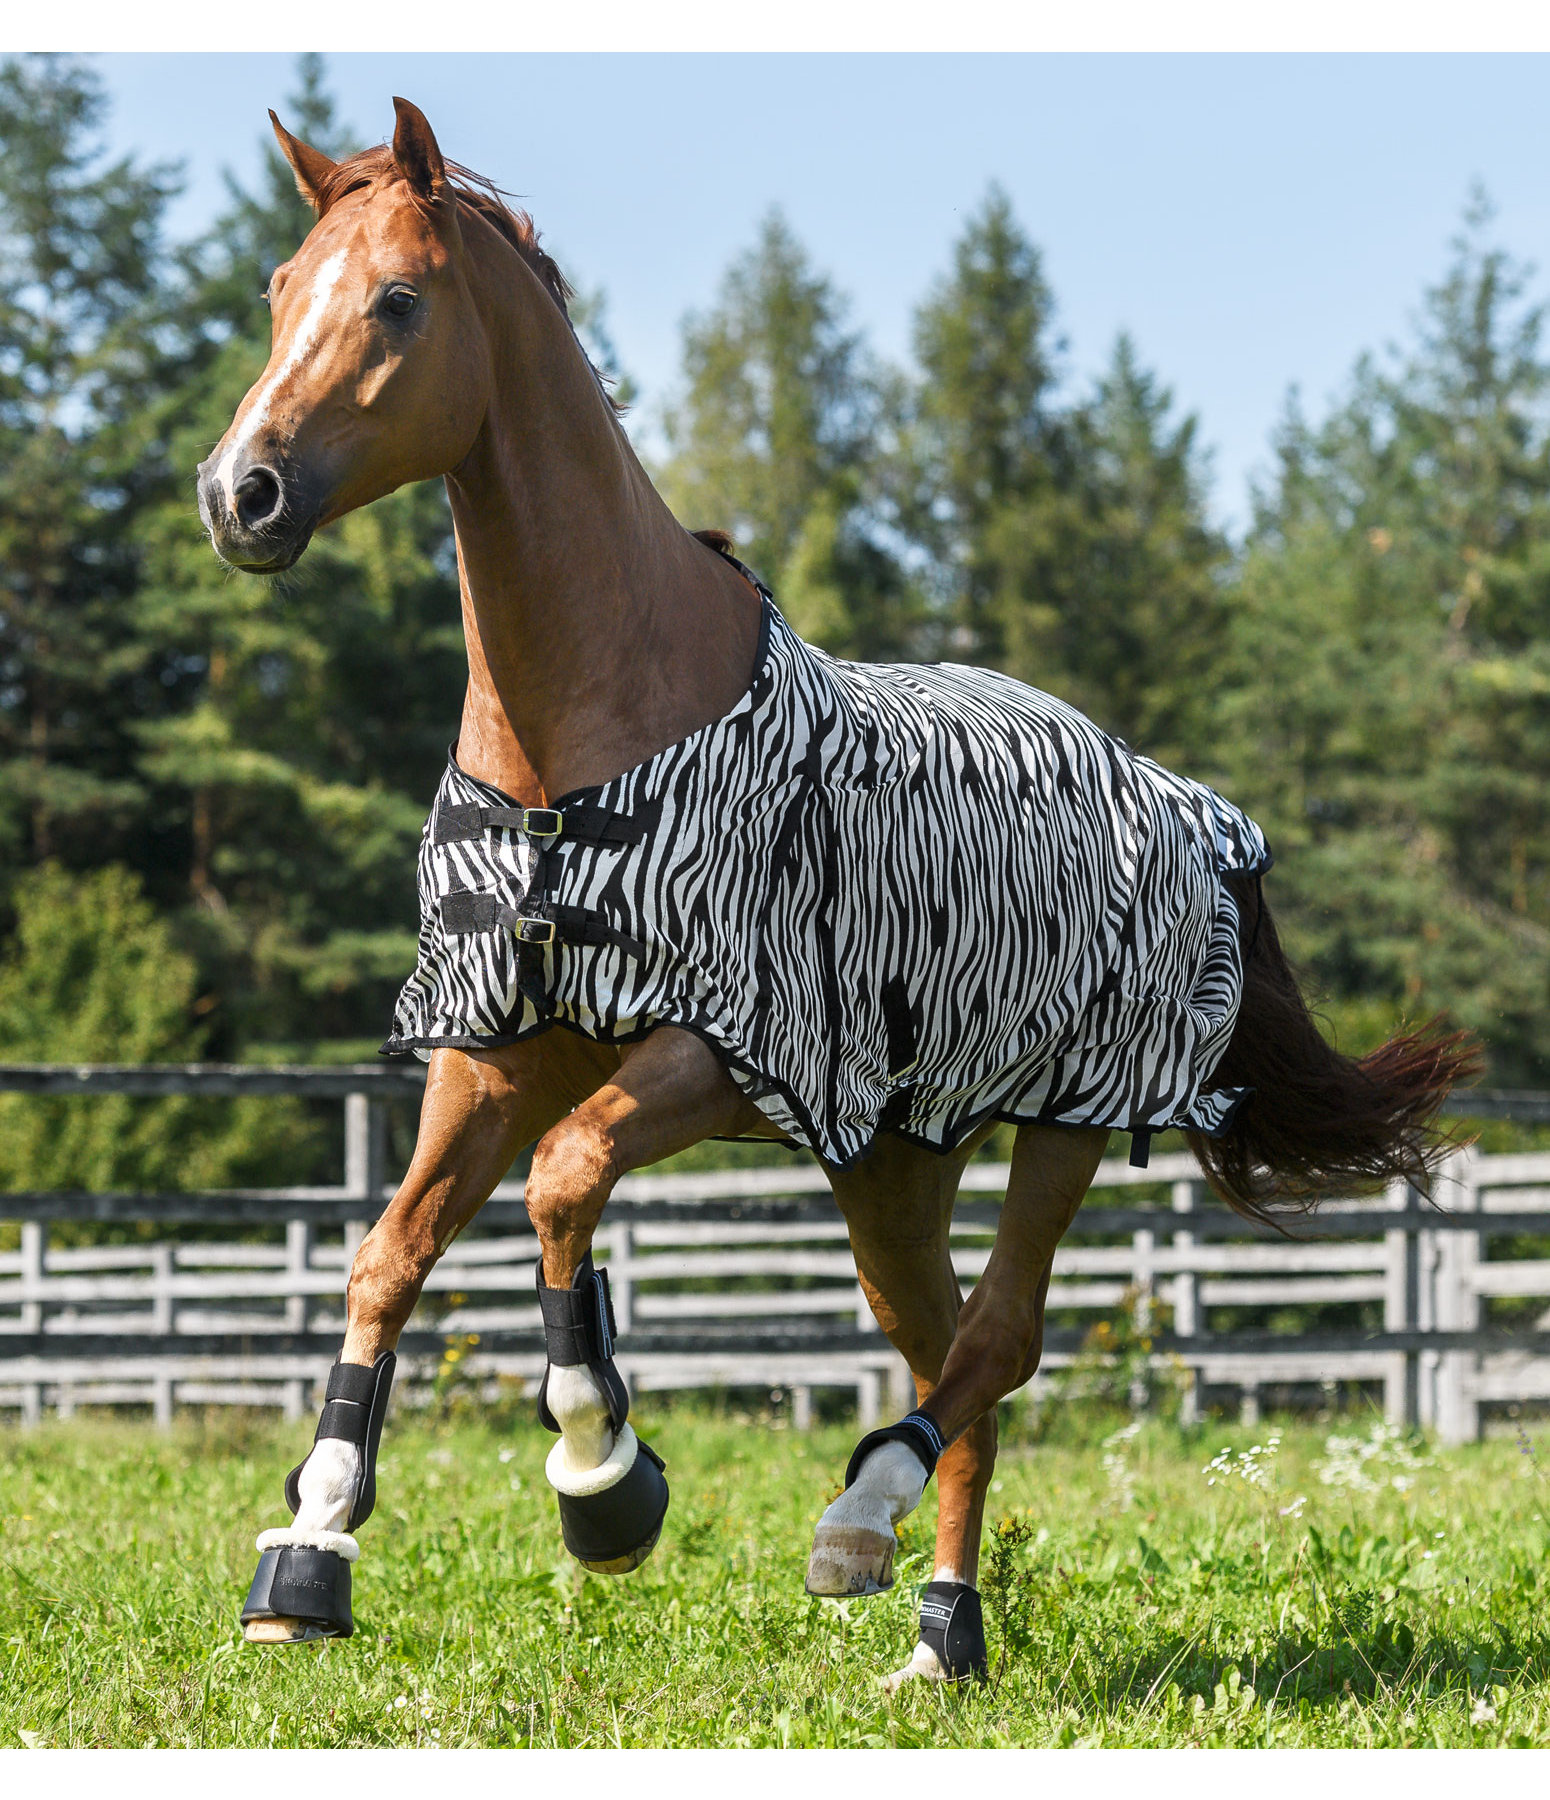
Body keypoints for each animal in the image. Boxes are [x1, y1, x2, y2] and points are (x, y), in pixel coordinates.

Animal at [199, 105, 1468, 1692]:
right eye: (274, 290)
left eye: (398, 302)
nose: (239, 494)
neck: (585, 742)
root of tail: (1182, 804)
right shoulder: (488, 1051)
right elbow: (386, 1256)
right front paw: (306, 1553)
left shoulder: (723, 1048)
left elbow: (564, 1184)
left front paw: (603, 1483)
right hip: (891, 1161)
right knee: (951, 1355)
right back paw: (940, 1632)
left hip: (1061, 1123)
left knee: (997, 1342)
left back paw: (859, 1525)